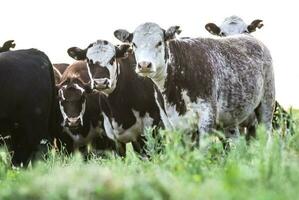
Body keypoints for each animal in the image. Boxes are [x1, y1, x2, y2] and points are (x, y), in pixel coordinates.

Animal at [114, 22, 276, 145]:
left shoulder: (207, 114)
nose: (144, 65)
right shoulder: (170, 121)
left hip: (266, 104)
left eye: (159, 43)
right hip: (230, 119)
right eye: (134, 44)